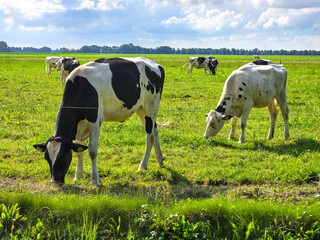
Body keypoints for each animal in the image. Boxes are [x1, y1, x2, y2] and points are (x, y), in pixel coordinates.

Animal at [33, 56, 165, 186]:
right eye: (47, 158)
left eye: (62, 157)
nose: (54, 181)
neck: (80, 87)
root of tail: (154, 62)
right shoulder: (79, 126)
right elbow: (79, 150)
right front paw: (78, 176)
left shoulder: (95, 121)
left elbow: (92, 151)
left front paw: (95, 180)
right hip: (141, 110)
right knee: (155, 131)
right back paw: (160, 161)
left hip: (151, 108)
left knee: (150, 136)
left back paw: (142, 166)